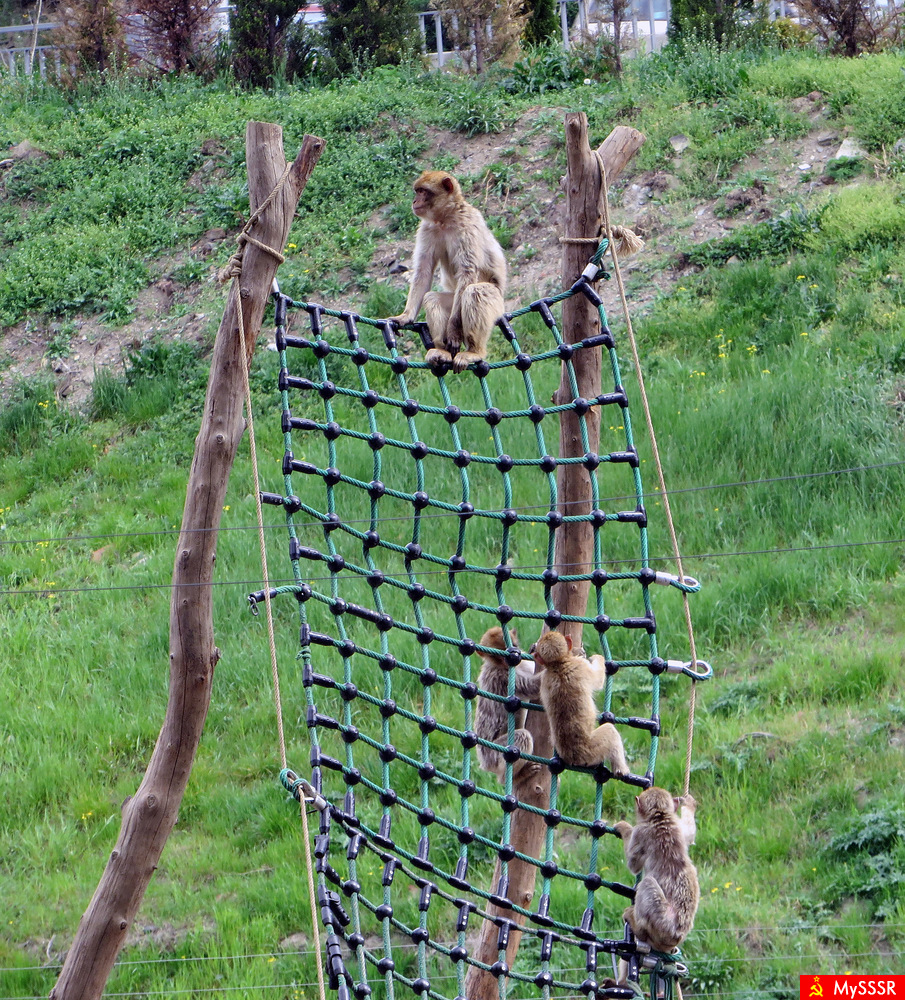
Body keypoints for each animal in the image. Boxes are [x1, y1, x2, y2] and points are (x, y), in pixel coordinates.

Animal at [389, 170, 507, 374]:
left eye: (423, 191)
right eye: (417, 191)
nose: (414, 201)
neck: (445, 218)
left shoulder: (467, 225)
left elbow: (467, 271)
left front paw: (452, 330)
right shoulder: (427, 228)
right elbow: (424, 271)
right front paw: (405, 317)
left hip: (496, 303)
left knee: (475, 292)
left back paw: (474, 351)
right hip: (453, 300)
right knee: (432, 298)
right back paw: (441, 352)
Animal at [473, 626, 543, 783]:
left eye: (513, 647)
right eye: (499, 655)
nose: (510, 659)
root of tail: (485, 763)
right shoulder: (504, 679)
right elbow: (533, 687)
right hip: (494, 753)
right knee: (523, 737)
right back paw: (513, 777)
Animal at [530, 630, 629, 776]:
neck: (558, 664)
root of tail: (572, 757)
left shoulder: (544, 679)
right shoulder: (581, 665)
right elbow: (598, 680)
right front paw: (598, 657)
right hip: (591, 751)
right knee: (610, 731)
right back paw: (621, 770)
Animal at [613, 787, 700, 954]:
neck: (660, 817)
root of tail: (675, 937)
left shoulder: (641, 832)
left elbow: (633, 865)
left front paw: (624, 828)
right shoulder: (677, 825)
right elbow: (689, 833)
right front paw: (689, 804)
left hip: (660, 919)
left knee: (647, 883)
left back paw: (637, 927)